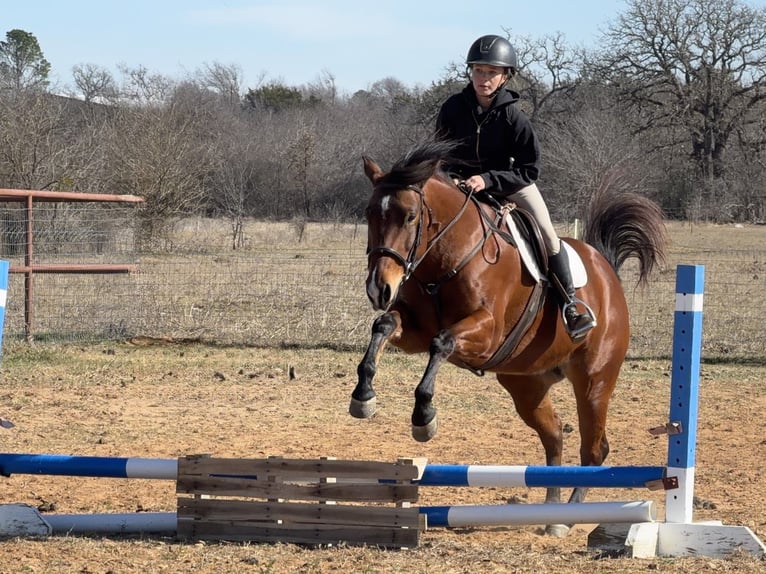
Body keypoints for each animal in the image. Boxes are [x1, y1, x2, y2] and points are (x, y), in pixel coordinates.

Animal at [349, 141, 667, 536]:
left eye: (409, 217)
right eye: (369, 214)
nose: (379, 288)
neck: (445, 256)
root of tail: (607, 273)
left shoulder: (486, 332)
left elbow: (442, 342)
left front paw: (423, 417)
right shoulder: (414, 330)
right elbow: (384, 325)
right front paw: (363, 397)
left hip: (594, 381)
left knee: (594, 451)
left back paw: (567, 519)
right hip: (527, 386)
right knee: (554, 436)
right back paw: (551, 512)